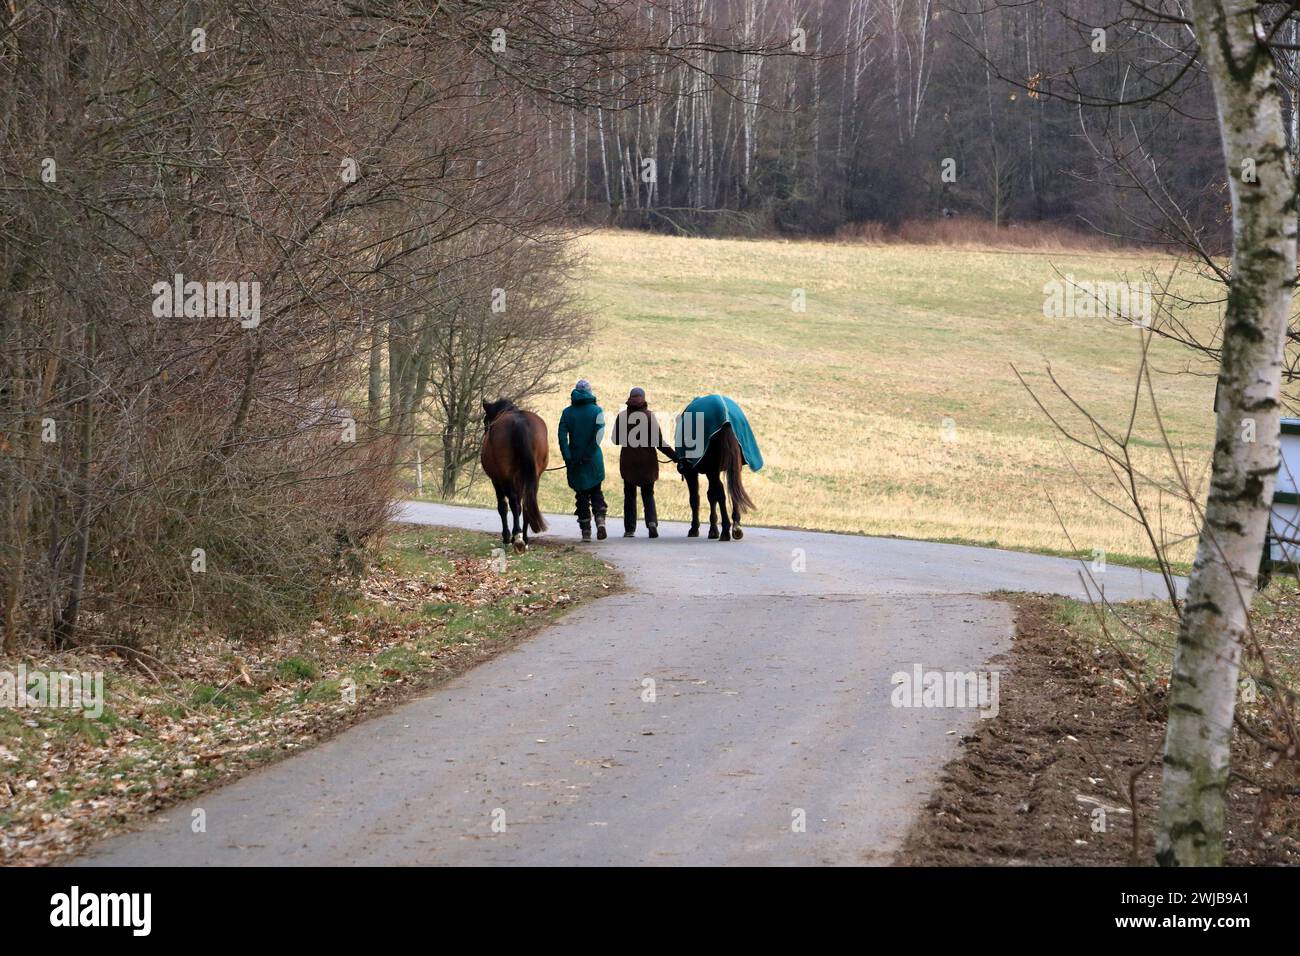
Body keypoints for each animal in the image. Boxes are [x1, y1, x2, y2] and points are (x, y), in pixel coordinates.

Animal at [480, 400, 546, 554]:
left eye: (485, 421)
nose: (485, 431)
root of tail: (520, 421)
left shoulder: (497, 480)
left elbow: (503, 507)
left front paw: (507, 538)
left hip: (506, 477)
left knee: (513, 504)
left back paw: (517, 537)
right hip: (534, 476)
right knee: (527, 503)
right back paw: (524, 539)